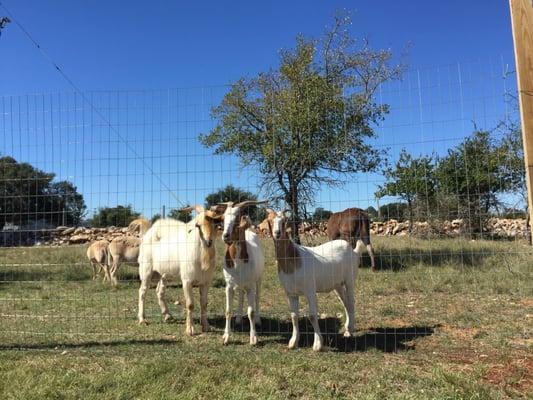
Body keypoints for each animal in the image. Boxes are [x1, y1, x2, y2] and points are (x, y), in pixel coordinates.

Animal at [137, 205, 222, 336]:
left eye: (215, 224)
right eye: (198, 225)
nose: (208, 242)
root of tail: (149, 233)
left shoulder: (206, 282)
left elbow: (204, 303)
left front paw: (206, 326)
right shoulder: (187, 280)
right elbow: (190, 304)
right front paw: (190, 329)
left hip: (164, 274)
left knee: (159, 291)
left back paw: (167, 315)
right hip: (146, 271)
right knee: (142, 292)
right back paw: (142, 319)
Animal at [264, 209, 360, 350]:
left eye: (284, 221)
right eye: (270, 221)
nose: (277, 233)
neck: (294, 259)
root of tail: (352, 250)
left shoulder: (310, 290)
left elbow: (313, 316)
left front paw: (318, 344)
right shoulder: (290, 293)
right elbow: (294, 316)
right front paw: (293, 342)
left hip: (350, 279)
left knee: (352, 301)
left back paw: (351, 330)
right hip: (337, 284)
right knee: (345, 302)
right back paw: (347, 329)